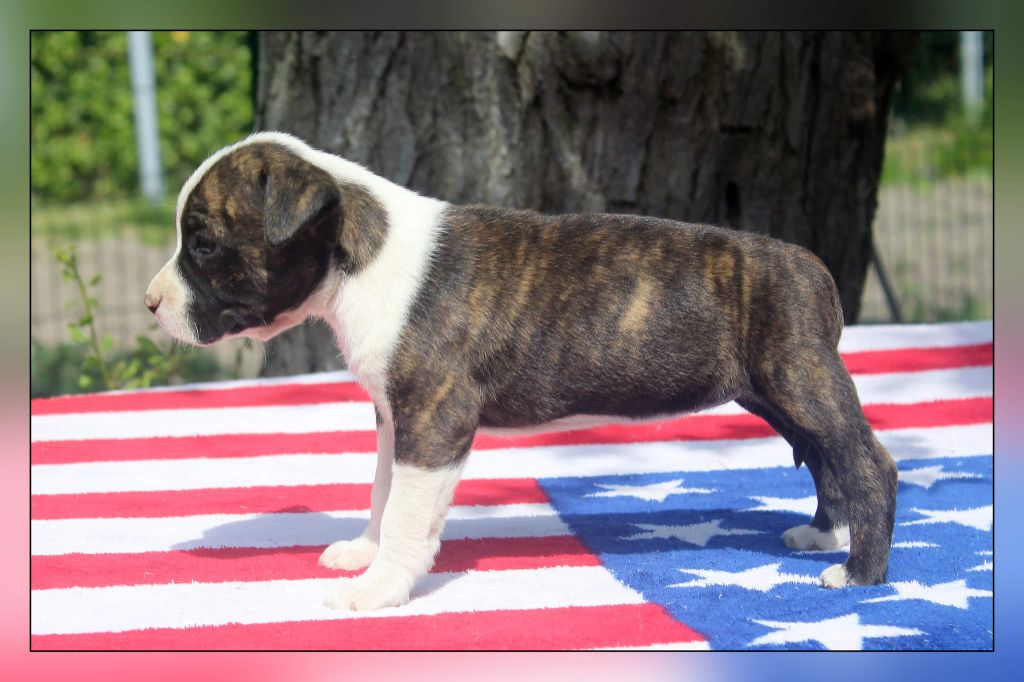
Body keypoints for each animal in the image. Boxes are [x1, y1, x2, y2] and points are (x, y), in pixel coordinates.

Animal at [145, 132, 898, 611]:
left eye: (203, 244)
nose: (151, 304)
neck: (356, 255)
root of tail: (810, 266)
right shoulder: (396, 417)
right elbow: (383, 492)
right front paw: (363, 552)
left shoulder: (434, 420)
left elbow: (407, 511)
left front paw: (379, 589)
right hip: (776, 393)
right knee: (825, 456)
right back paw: (824, 534)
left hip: (799, 377)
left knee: (868, 464)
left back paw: (859, 573)